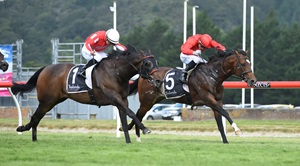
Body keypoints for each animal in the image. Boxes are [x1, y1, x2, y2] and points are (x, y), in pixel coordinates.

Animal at [10, 44, 158, 144]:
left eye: (156, 62)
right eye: (147, 63)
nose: (157, 80)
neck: (117, 73)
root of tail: (45, 68)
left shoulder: (122, 99)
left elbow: (124, 117)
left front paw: (128, 140)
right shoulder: (114, 98)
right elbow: (131, 113)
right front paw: (145, 129)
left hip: (53, 100)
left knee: (37, 118)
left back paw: (32, 137)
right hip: (47, 100)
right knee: (35, 117)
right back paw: (24, 129)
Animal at [127, 49, 256, 143]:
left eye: (250, 63)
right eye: (243, 64)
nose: (253, 80)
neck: (212, 76)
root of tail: (146, 75)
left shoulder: (217, 101)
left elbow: (220, 121)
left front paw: (225, 141)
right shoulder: (208, 99)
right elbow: (225, 113)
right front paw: (237, 130)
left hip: (153, 100)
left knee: (138, 115)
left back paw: (132, 132)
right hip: (147, 101)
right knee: (138, 115)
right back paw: (137, 135)